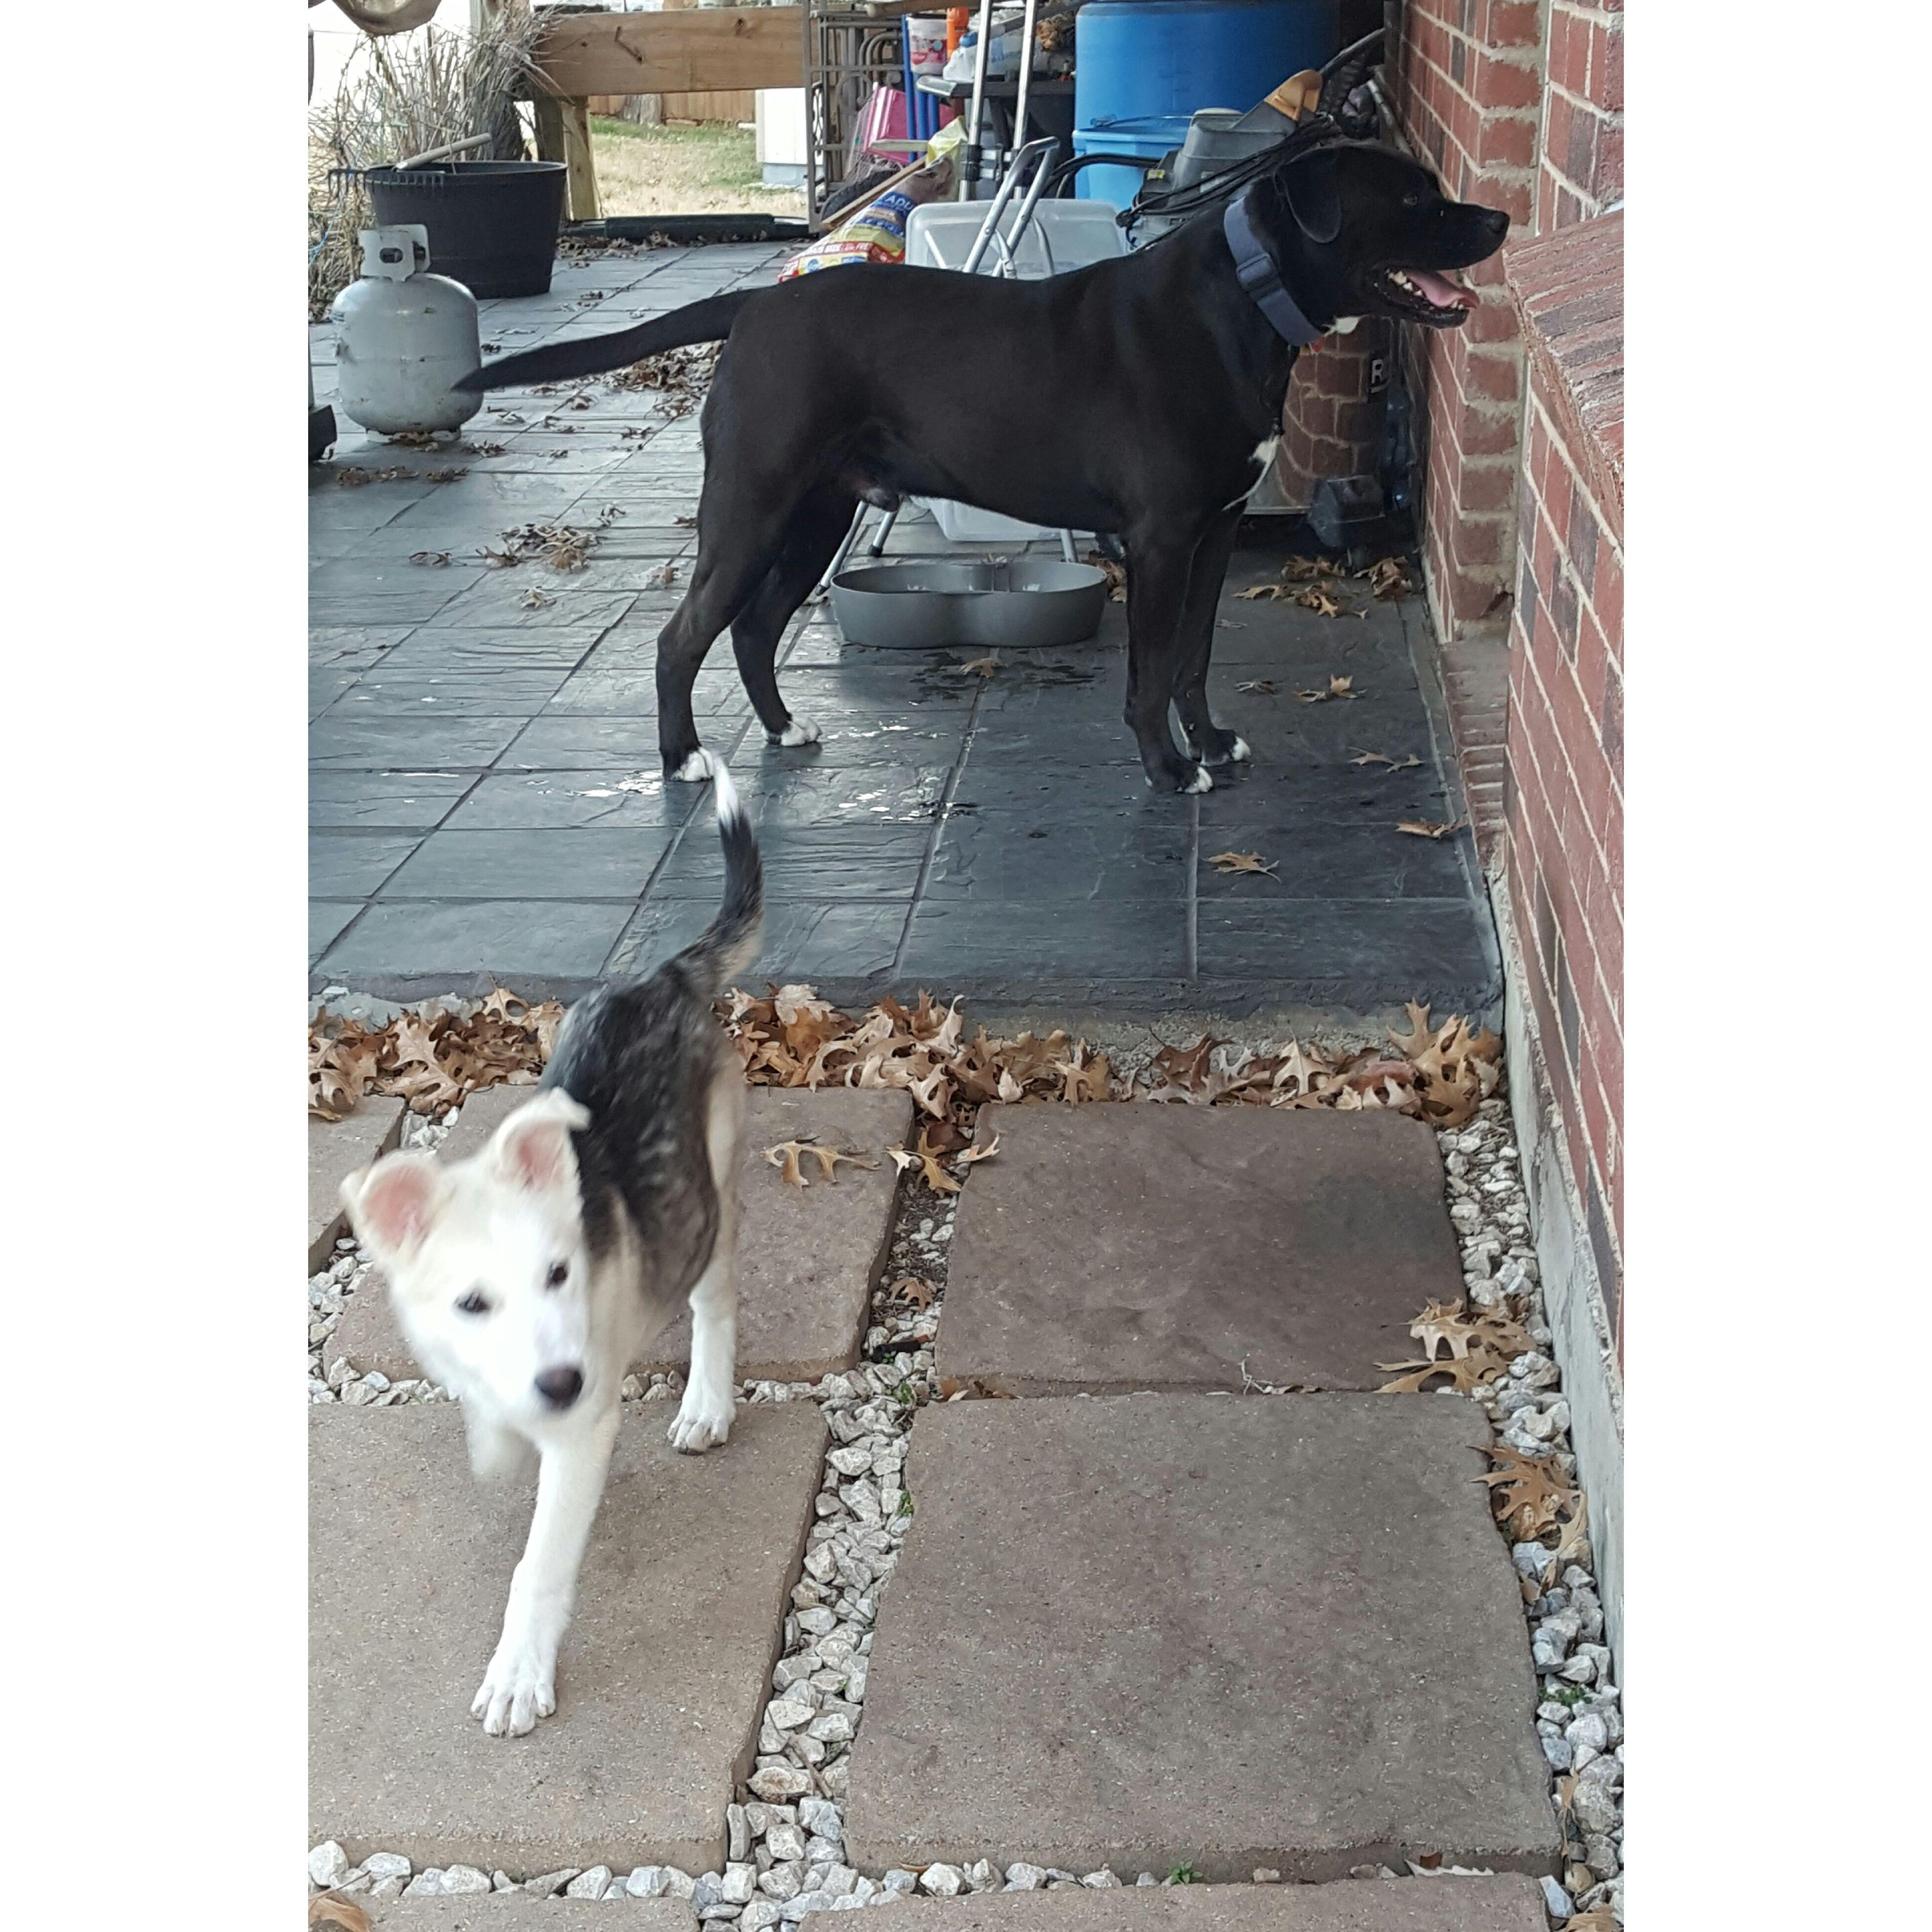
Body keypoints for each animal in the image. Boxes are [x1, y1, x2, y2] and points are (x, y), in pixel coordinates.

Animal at [463, 140, 1507, 792]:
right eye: (1411, 201)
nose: (1497, 218)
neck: (1246, 301)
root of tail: (755, 305)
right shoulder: (1160, 540)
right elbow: (1151, 670)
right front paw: (1170, 770)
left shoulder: (1212, 535)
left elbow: (1195, 660)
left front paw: (1210, 744)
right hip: (752, 507)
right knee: (684, 636)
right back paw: (681, 758)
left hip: (819, 516)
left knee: (756, 629)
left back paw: (785, 728)